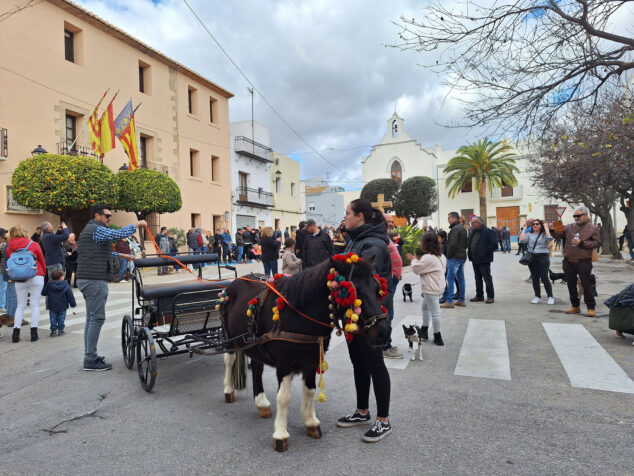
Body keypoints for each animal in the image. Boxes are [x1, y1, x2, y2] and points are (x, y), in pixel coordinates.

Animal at [221, 255, 390, 452]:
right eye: (355, 292)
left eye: (376, 289)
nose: (383, 333)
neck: (297, 314)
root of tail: (236, 281)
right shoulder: (284, 365)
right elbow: (283, 398)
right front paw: (281, 434)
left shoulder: (312, 362)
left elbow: (310, 392)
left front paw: (311, 423)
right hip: (229, 340)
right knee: (229, 360)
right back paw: (228, 390)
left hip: (256, 343)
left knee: (256, 368)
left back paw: (261, 402)